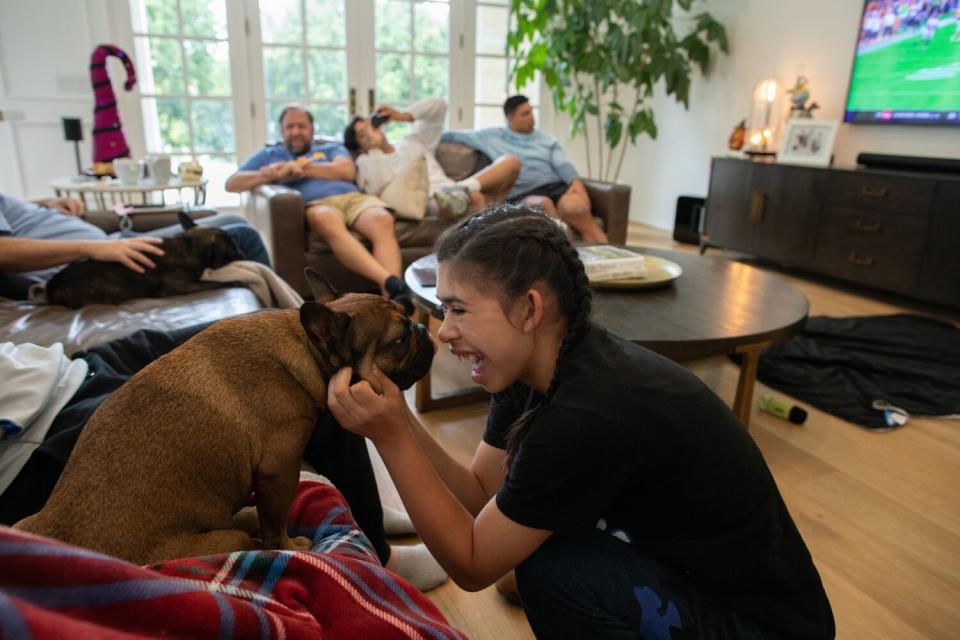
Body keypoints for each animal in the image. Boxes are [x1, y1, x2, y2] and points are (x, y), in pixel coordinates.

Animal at [44, 212, 242, 308]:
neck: (186, 246)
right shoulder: (178, 285)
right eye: (232, 249)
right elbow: (213, 283)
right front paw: (235, 282)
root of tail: (50, 287)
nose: (242, 252)